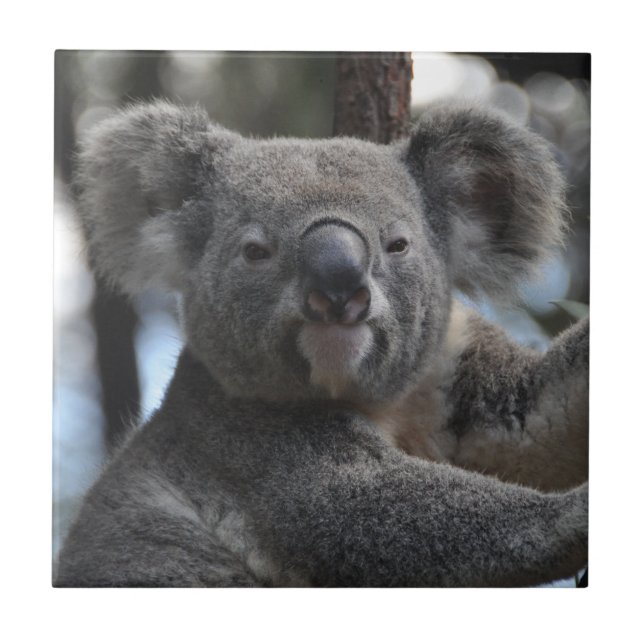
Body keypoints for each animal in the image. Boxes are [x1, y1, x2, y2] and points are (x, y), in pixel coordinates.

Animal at [55, 100, 588, 587]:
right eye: (255, 251)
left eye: (398, 245)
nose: (339, 289)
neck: (384, 404)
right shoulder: (239, 438)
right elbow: (360, 511)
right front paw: (576, 515)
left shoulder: (452, 363)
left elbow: (537, 414)